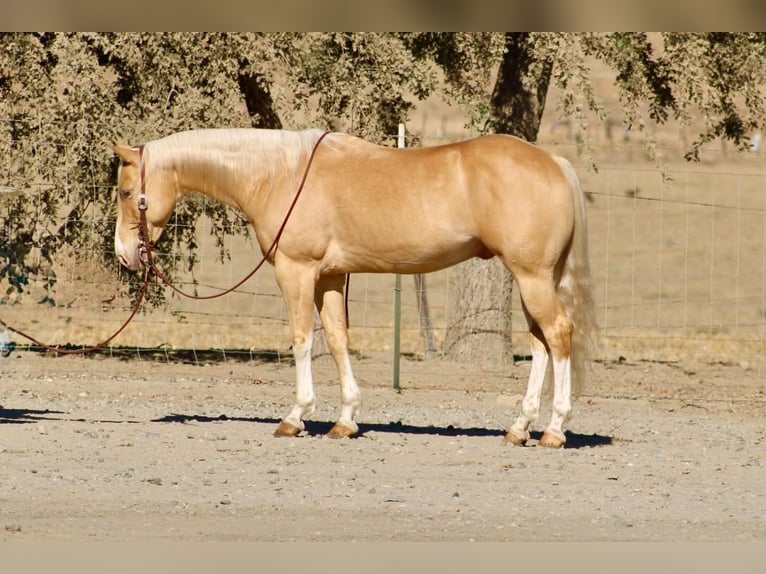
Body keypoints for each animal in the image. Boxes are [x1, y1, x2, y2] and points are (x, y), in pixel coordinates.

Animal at [113, 128, 597, 448]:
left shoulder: (297, 272)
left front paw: (296, 416)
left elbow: (301, 340)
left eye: (124, 192)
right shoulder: (330, 277)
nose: (124, 254)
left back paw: (555, 430)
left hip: (532, 276)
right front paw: (345, 419)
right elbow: (338, 340)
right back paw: (519, 428)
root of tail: (554, 163)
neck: (280, 176)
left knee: (557, 335)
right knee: (539, 343)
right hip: (533, 278)